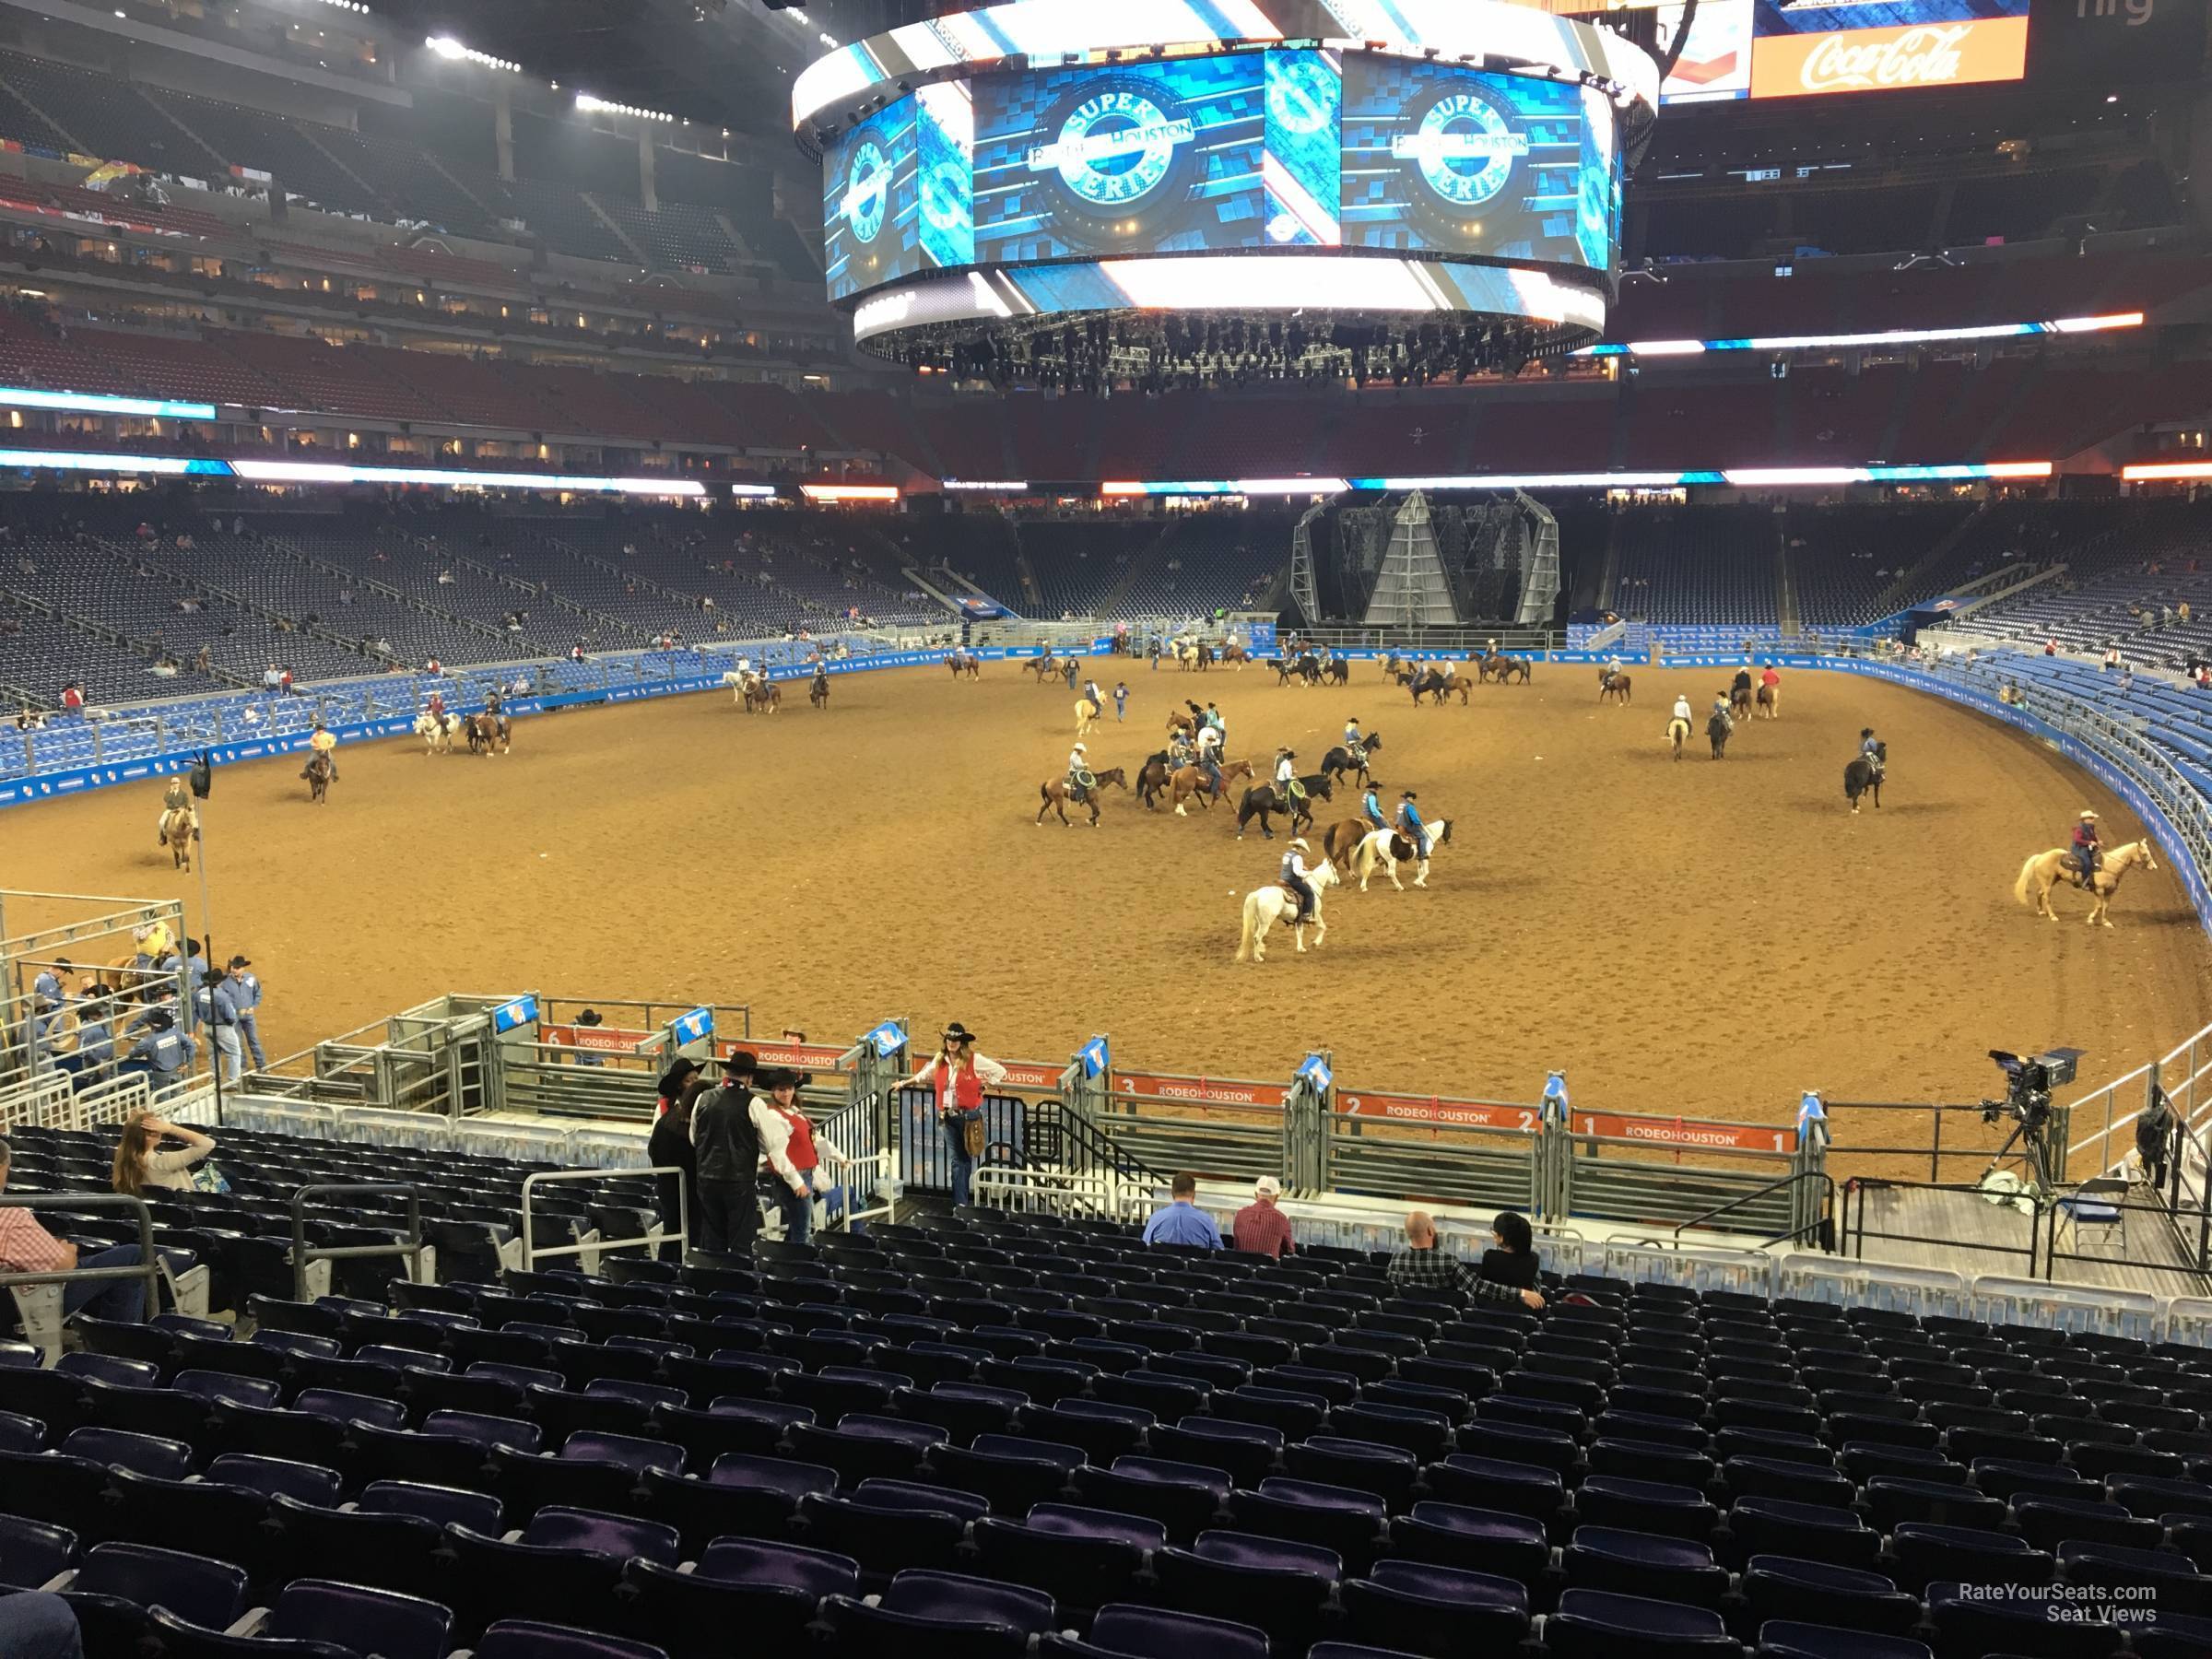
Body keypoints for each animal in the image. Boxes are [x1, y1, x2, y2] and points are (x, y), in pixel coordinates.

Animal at [2017, 836, 2149, 929]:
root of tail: (2040, 857)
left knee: (2039, 893)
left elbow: (2105, 907)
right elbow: (2099, 906)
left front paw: (2106, 922)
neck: (2109, 866)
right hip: (2048, 884)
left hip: (2050, 881)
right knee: (2047, 898)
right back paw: (2053, 916)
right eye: (2144, 854)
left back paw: (2040, 911)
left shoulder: (2109, 892)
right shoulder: (2099, 890)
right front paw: (2090, 919)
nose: (2152, 867)